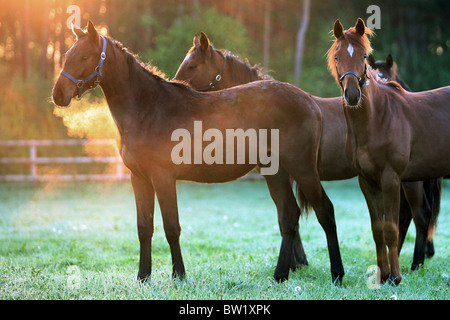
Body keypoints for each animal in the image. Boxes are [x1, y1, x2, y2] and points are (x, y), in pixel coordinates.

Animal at [51, 21, 342, 282]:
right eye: (67, 56)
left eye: (85, 56)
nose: (58, 94)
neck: (148, 108)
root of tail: (309, 101)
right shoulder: (139, 178)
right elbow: (144, 227)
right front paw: (143, 276)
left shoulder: (163, 178)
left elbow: (171, 227)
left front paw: (178, 275)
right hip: (277, 173)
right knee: (289, 216)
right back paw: (280, 274)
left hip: (303, 170)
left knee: (325, 212)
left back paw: (336, 274)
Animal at [174, 32, 442, 272]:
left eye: (193, 65)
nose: (177, 86)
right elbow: (286, 216)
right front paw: (297, 262)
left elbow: (289, 216)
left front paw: (295, 262)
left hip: (408, 180)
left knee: (419, 215)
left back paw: (415, 264)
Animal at [326, 17, 450, 284]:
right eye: (338, 56)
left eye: (363, 55)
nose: (352, 95)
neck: (378, 119)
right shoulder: (367, 181)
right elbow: (378, 229)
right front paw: (382, 275)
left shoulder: (391, 178)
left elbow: (392, 228)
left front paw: (395, 277)